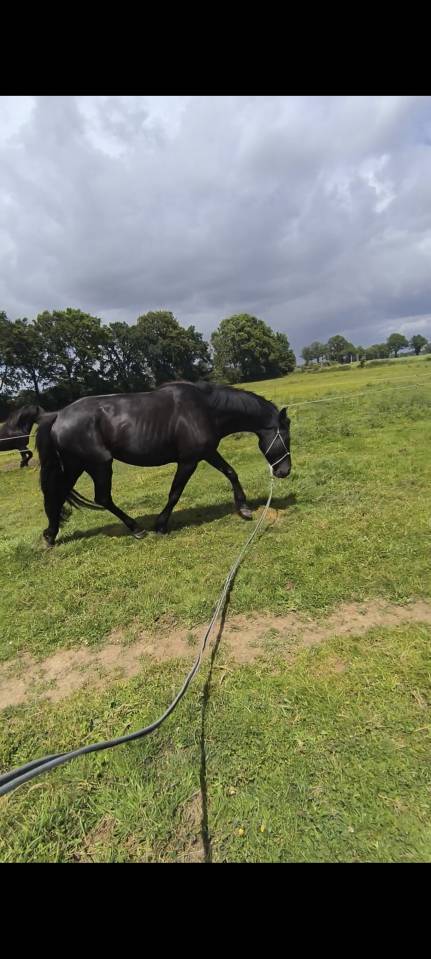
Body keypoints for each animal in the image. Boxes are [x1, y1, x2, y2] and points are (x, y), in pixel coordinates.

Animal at [35, 381, 291, 547]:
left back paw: (51, 535)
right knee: (102, 498)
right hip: (98, 464)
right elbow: (175, 493)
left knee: (58, 494)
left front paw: (244, 508)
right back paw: (137, 529)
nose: (284, 471)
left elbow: (231, 472)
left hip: (76, 465)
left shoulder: (207, 452)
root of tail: (58, 416)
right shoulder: (189, 460)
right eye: (286, 437)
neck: (205, 409)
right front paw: (160, 525)